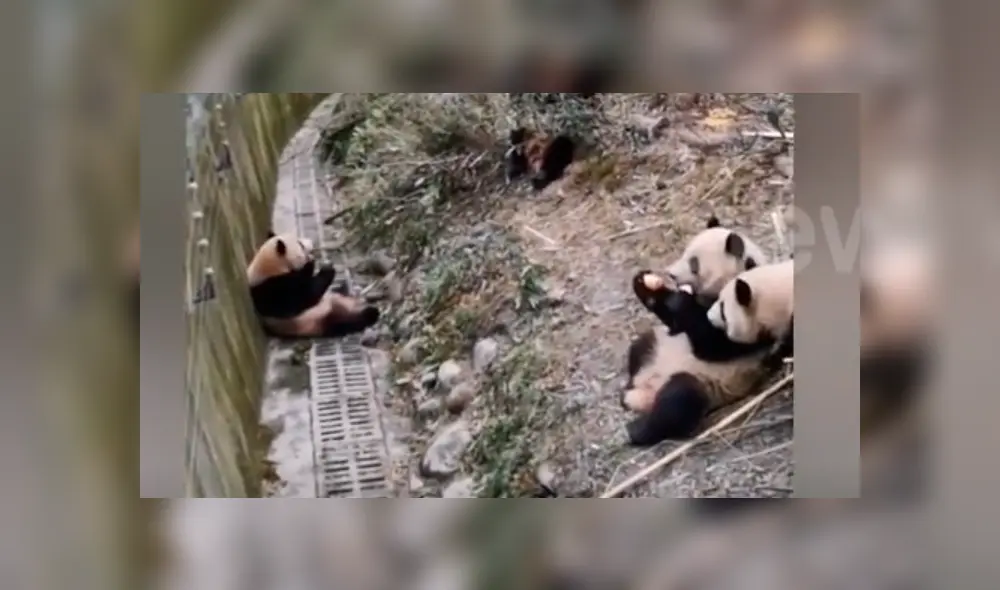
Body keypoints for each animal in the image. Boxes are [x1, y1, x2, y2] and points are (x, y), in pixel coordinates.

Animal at [246, 231, 380, 339]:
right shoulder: (271, 289)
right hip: (318, 321)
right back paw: (370, 313)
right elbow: (302, 298)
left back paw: (346, 289)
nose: (311, 243)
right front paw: (321, 267)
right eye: (300, 244)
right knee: (347, 322)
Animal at [622, 272, 780, 446]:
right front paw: (645, 284)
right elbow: (673, 321)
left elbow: (713, 345)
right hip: (658, 345)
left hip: (704, 386)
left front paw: (679, 301)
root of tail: (643, 392)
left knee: (679, 399)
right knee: (639, 348)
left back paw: (637, 430)